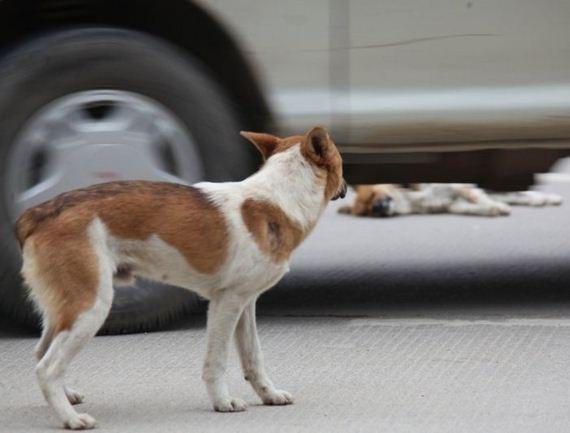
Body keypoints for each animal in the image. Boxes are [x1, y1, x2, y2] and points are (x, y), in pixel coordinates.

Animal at [16, 125, 346, 428]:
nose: (346, 186)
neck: (276, 200)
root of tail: (38, 213)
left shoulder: (245, 304)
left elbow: (254, 359)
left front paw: (269, 394)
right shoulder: (226, 304)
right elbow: (216, 362)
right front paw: (223, 402)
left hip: (66, 310)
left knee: (42, 352)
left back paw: (66, 396)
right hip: (90, 307)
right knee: (47, 368)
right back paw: (71, 419)